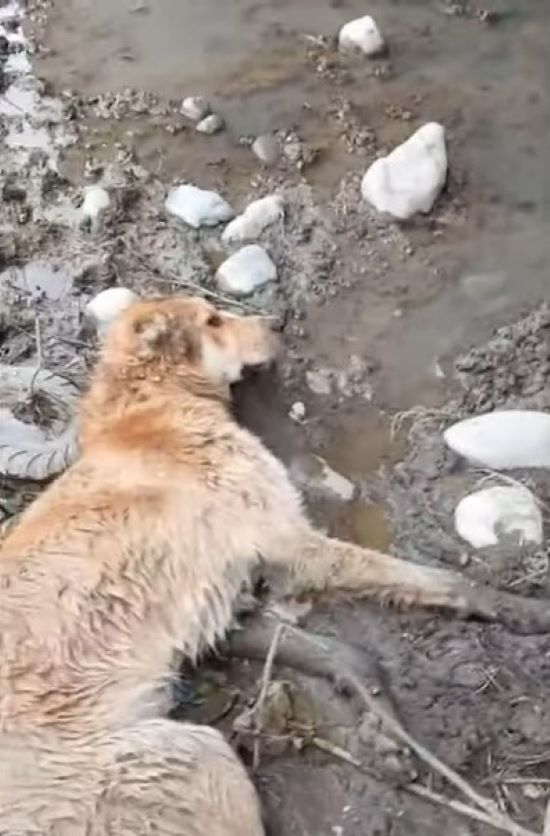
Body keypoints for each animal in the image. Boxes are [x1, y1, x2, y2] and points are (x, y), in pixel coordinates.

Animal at [1, 296, 550, 836]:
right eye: (212, 320)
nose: (278, 321)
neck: (149, 398)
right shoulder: (289, 541)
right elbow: (437, 579)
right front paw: (521, 609)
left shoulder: (231, 606)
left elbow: (343, 652)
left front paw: (382, 724)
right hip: (193, 756)